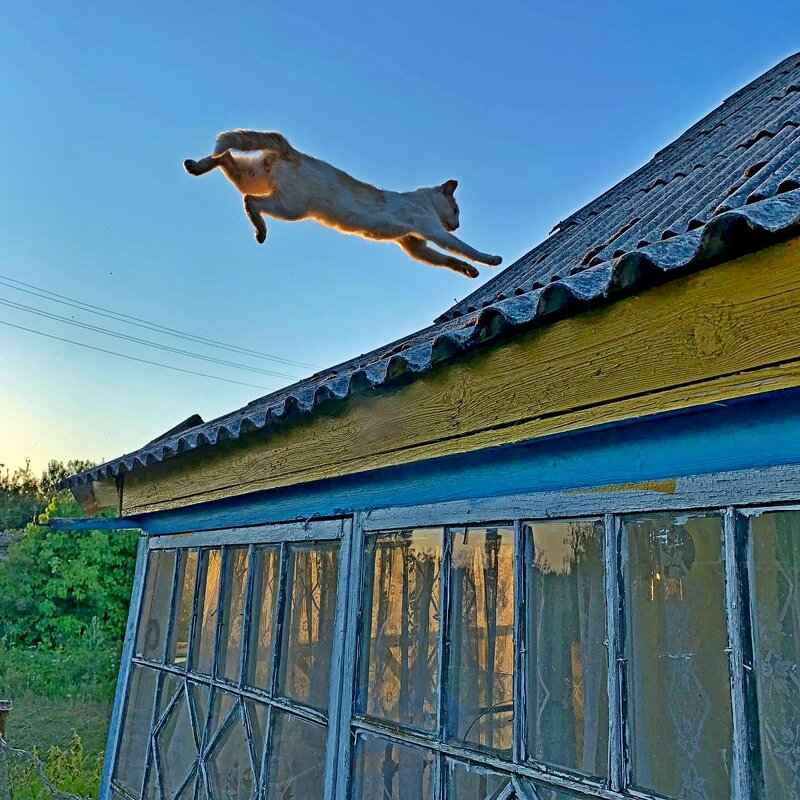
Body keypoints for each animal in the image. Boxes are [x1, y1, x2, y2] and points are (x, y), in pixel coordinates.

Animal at [184, 131, 504, 278]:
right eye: (457, 211)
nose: (457, 224)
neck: (422, 199)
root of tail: (291, 150)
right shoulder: (432, 232)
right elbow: (465, 249)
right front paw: (490, 259)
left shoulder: (415, 246)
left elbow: (450, 260)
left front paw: (468, 271)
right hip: (290, 208)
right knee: (249, 200)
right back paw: (260, 233)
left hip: (251, 179)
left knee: (225, 159)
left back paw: (195, 166)